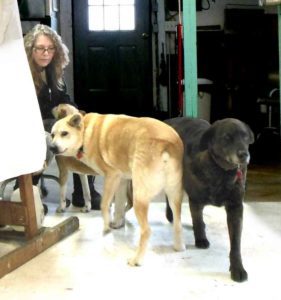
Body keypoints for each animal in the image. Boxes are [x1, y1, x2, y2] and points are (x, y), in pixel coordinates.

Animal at [50, 112, 185, 264]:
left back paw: (136, 259)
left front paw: (106, 227)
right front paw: (117, 224)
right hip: (174, 196)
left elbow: (104, 205)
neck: (86, 131)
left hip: (140, 197)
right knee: (178, 223)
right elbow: (119, 206)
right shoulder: (122, 180)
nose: (52, 148)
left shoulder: (112, 175)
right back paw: (179, 247)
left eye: (64, 133)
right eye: (52, 135)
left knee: (147, 231)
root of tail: (167, 144)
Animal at [164, 116, 254, 282]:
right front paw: (200, 240)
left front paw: (237, 268)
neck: (221, 171)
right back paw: (171, 214)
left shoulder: (236, 208)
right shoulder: (195, 201)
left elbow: (236, 243)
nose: (244, 155)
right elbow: (198, 222)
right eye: (226, 137)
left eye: (245, 137)